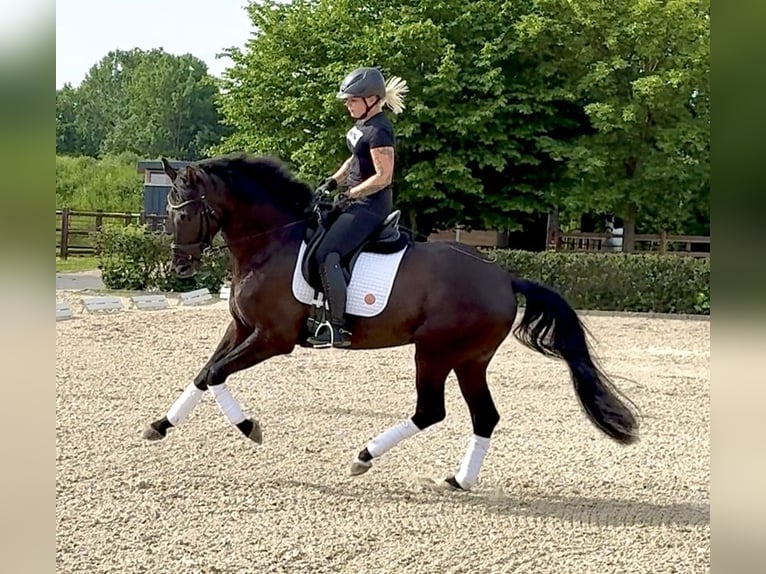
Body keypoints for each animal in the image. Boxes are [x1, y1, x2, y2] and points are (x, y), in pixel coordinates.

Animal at [143, 152, 639, 491]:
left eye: (187, 212)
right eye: (168, 212)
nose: (180, 268)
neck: (273, 244)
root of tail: (504, 277)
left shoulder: (272, 338)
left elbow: (216, 374)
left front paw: (249, 428)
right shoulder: (242, 329)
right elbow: (205, 373)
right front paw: (161, 426)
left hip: (435, 352)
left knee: (431, 411)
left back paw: (364, 456)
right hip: (470, 360)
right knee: (484, 415)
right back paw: (459, 479)